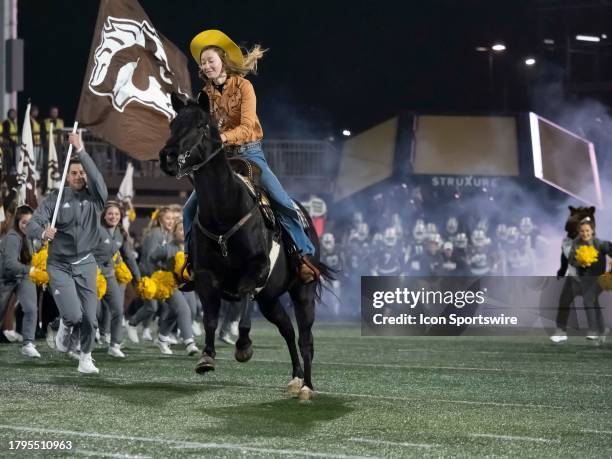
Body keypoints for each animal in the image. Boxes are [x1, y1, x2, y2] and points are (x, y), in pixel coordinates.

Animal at [158, 92, 330, 398]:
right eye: (173, 124)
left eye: (201, 125)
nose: (167, 157)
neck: (225, 211)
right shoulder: (206, 278)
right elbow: (210, 318)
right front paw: (206, 357)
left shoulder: (256, 269)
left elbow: (244, 306)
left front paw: (244, 347)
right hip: (270, 299)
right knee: (288, 330)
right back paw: (296, 378)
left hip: (303, 292)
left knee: (305, 339)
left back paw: (307, 387)